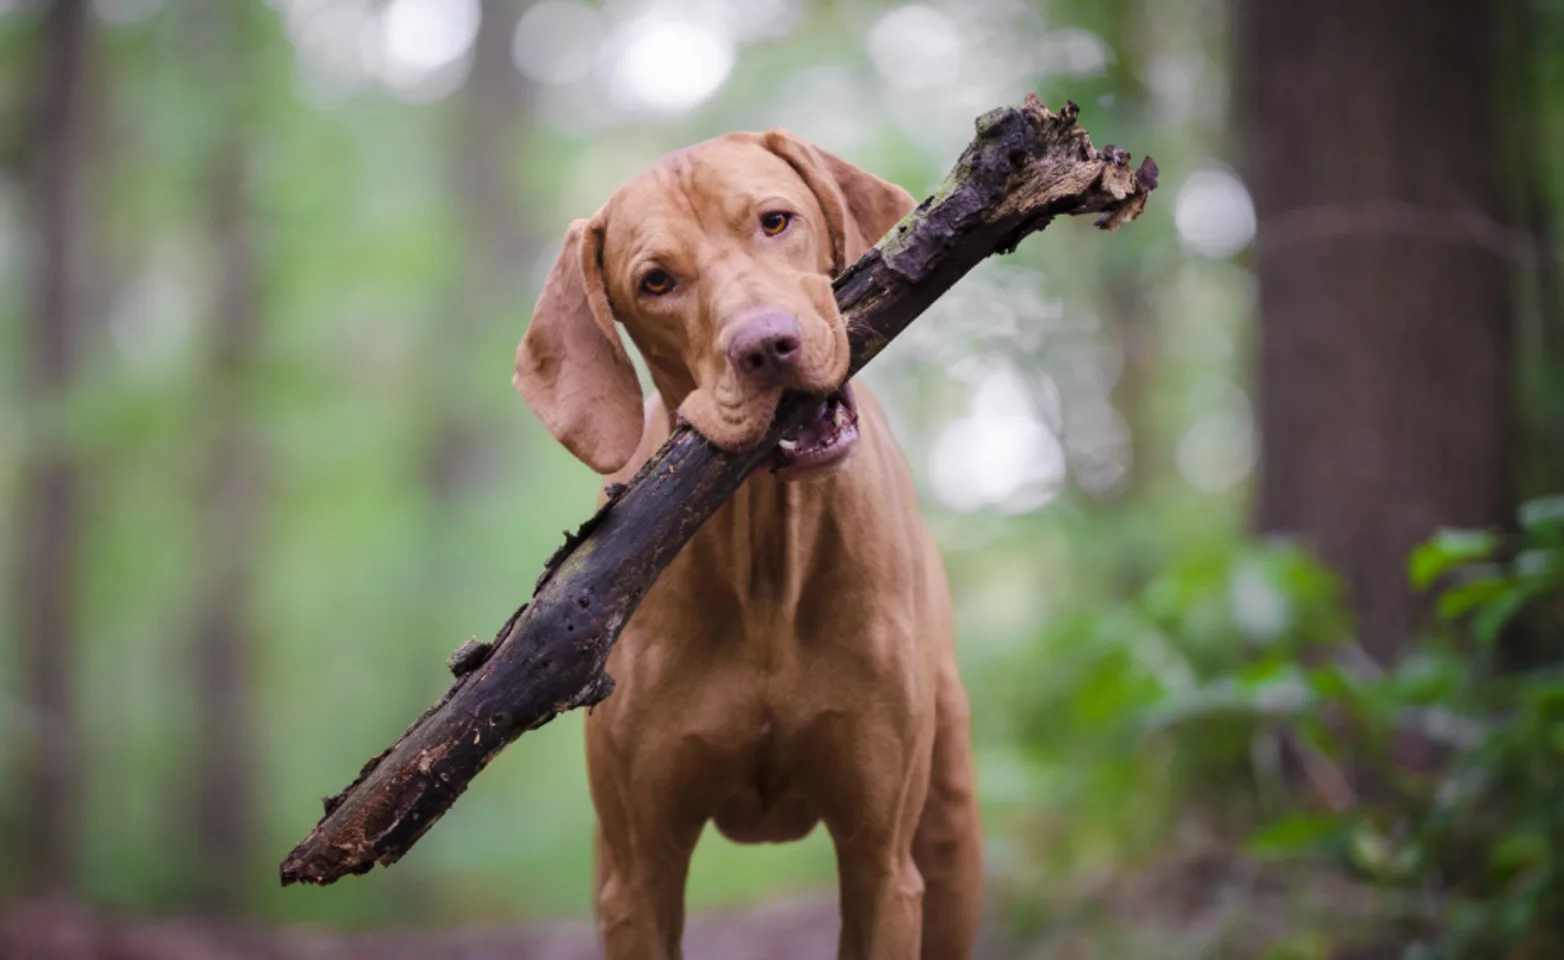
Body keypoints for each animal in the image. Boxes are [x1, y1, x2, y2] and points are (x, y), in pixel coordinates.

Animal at [512, 129, 975, 960]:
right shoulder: (639, 879)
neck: (765, 559)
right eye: (656, 281)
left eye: (775, 221)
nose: (767, 347)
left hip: (950, 829)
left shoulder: (882, 864)